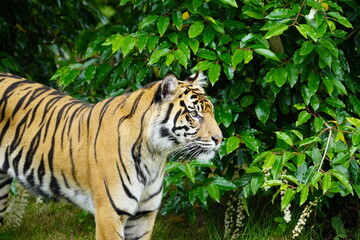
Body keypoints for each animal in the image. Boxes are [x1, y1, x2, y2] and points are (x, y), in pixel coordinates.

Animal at [0, 71, 222, 240]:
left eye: (211, 112)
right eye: (194, 114)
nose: (220, 139)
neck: (153, 155)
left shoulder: (144, 215)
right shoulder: (110, 213)